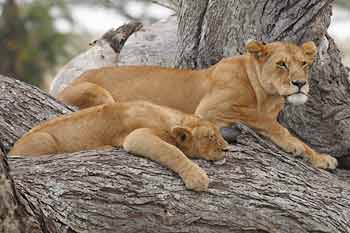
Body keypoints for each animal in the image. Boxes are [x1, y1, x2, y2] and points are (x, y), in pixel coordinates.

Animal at [9, 101, 228, 191]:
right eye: (210, 136)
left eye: (218, 134)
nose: (227, 149)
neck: (172, 118)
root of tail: (11, 151)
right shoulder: (137, 136)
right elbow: (172, 151)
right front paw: (197, 178)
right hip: (44, 138)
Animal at [56, 40, 338, 170]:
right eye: (281, 64)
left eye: (304, 64)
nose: (300, 83)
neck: (268, 96)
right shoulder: (211, 109)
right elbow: (265, 121)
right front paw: (293, 144)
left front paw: (320, 158)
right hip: (98, 94)